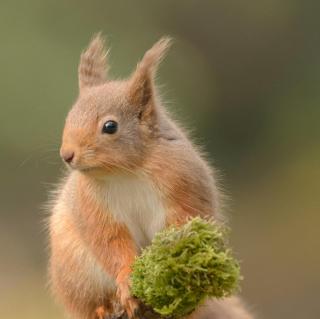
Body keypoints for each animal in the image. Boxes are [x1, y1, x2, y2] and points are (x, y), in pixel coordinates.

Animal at [48, 35, 252, 319]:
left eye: (110, 126)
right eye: (69, 117)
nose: (67, 154)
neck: (125, 172)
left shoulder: (182, 183)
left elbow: (181, 222)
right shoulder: (92, 207)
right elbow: (110, 242)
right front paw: (126, 279)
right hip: (76, 274)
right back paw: (102, 307)